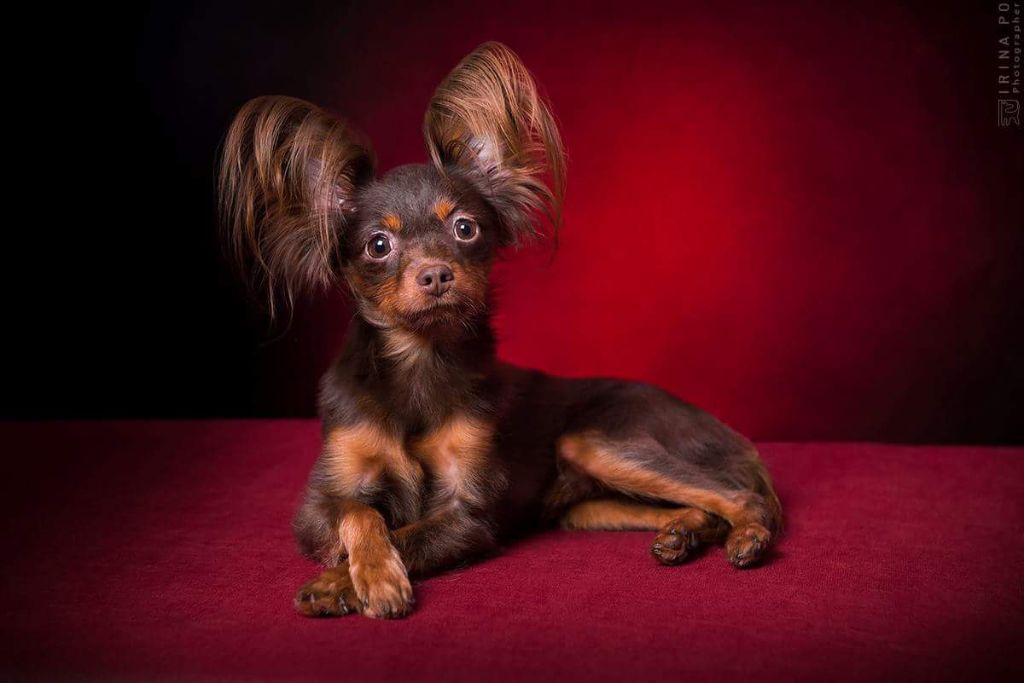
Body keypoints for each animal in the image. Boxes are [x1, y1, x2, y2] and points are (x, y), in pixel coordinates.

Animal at [218, 42, 782, 619]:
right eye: (378, 245)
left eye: (465, 228)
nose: (436, 274)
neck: (421, 359)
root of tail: (723, 428)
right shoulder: (319, 502)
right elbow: (363, 513)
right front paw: (368, 574)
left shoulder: (470, 513)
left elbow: (410, 534)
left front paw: (350, 582)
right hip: (586, 505)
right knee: (701, 505)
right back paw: (681, 534)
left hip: (596, 440)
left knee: (741, 496)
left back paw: (748, 537)